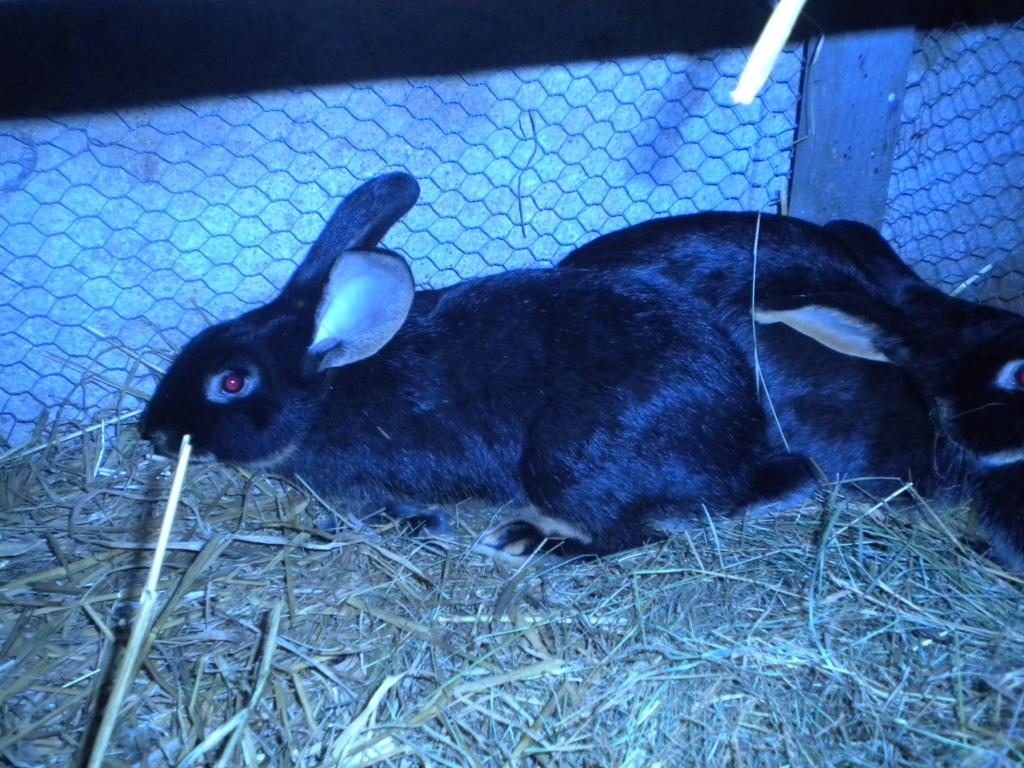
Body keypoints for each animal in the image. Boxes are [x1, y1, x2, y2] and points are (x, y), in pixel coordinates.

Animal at [140, 173, 814, 558]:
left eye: (231, 382)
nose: (153, 432)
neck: (326, 394)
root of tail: (737, 468)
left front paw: (420, 524)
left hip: (569, 463)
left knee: (630, 536)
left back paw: (520, 540)